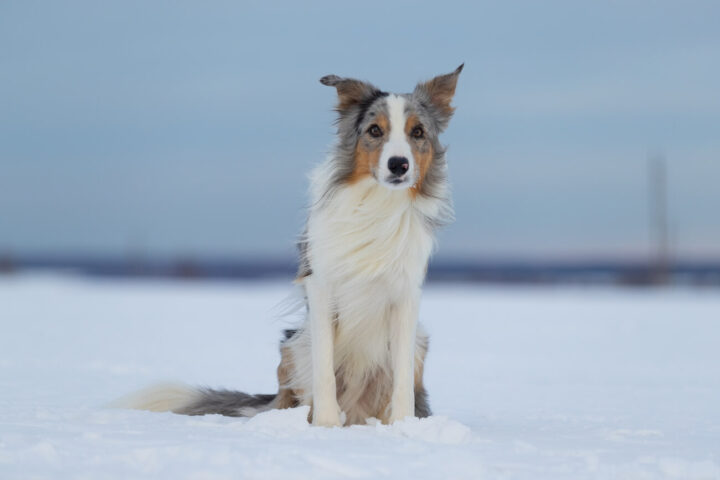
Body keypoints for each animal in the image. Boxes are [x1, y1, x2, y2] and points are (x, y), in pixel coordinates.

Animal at [119, 64, 462, 428]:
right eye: (375, 130)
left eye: (417, 132)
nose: (399, 164)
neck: (379, 204)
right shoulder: (322, 286)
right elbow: (324, 369)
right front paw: (325, 425)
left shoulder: (406, 294)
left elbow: (401, 379)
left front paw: (403, 426)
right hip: (294, 343)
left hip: (419, 341)